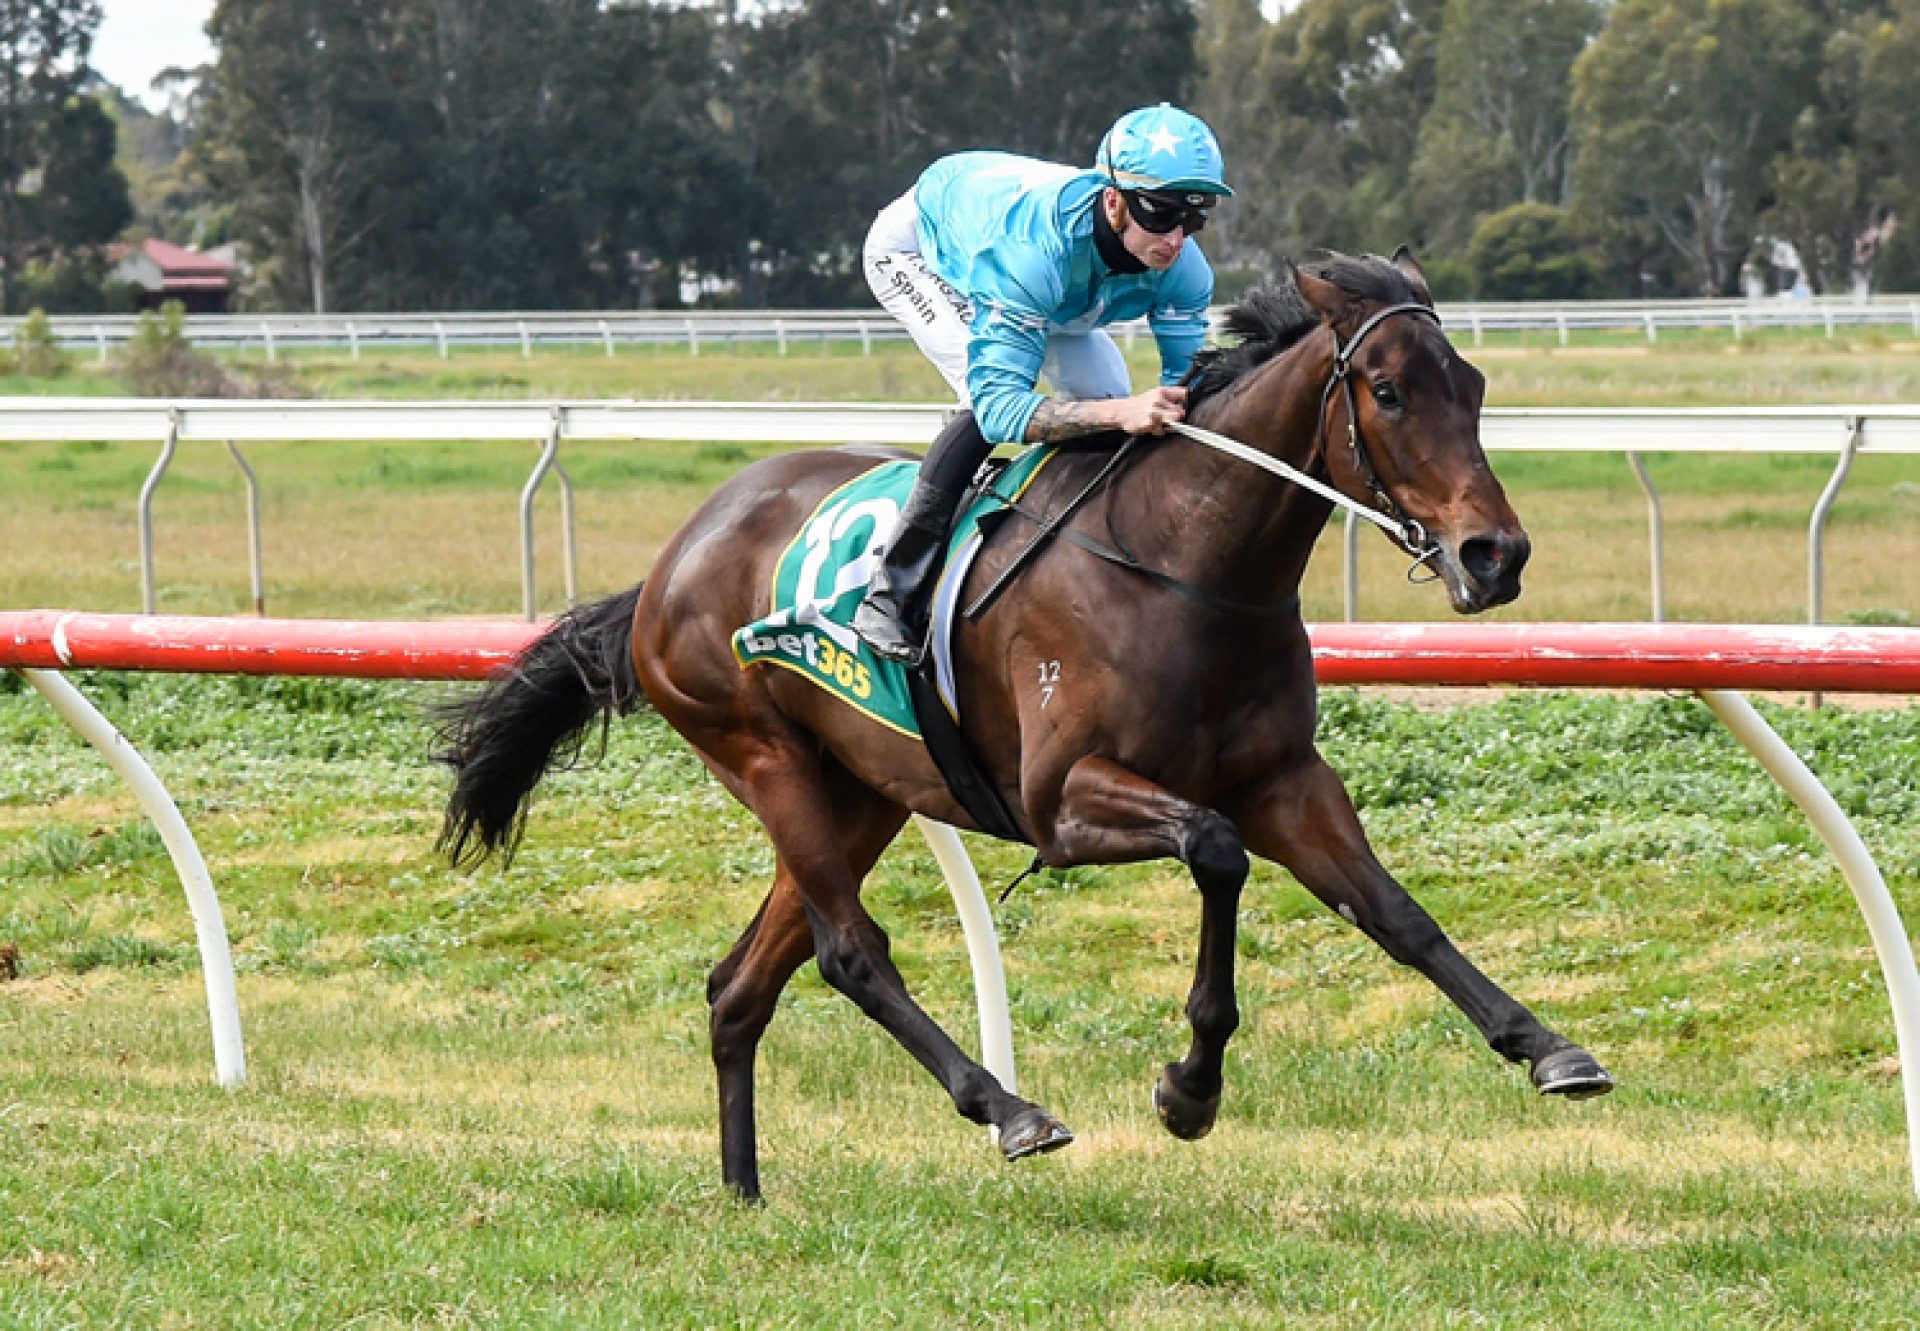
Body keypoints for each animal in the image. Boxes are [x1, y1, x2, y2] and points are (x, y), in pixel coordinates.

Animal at [432, 243, 1605, 1198]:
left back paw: (744, 1192)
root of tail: (669, 562)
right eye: (1390, 390)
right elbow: (1216, 849)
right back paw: (1008, 1108)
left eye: (1475, 385)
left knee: (741, 984)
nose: (1495, 555)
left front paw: (1546, 1045)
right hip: (764, 757)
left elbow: (1396, 912)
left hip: (862, 790)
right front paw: (1189, 1086)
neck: (1187, 562)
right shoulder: (1062, 803)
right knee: (850, 952)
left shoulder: (1284, 778)